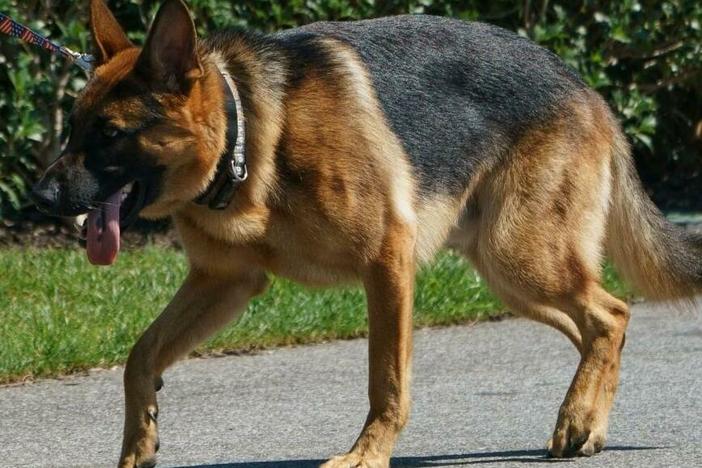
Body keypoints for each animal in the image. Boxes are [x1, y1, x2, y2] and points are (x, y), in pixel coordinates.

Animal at [33, 0, 702, 466]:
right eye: (72, 129)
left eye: (110, 135)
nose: (39, 197)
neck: (249, 137)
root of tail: (584, 84)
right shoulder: (224, 282)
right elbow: (140, 356)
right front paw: (136, 444)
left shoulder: (386, 265)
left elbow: (387, 382)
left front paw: (367, 454)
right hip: (509, 270)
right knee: (596, 324)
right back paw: (587, 420)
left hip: (521, 255)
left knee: (611, 313)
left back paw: (579, 419)